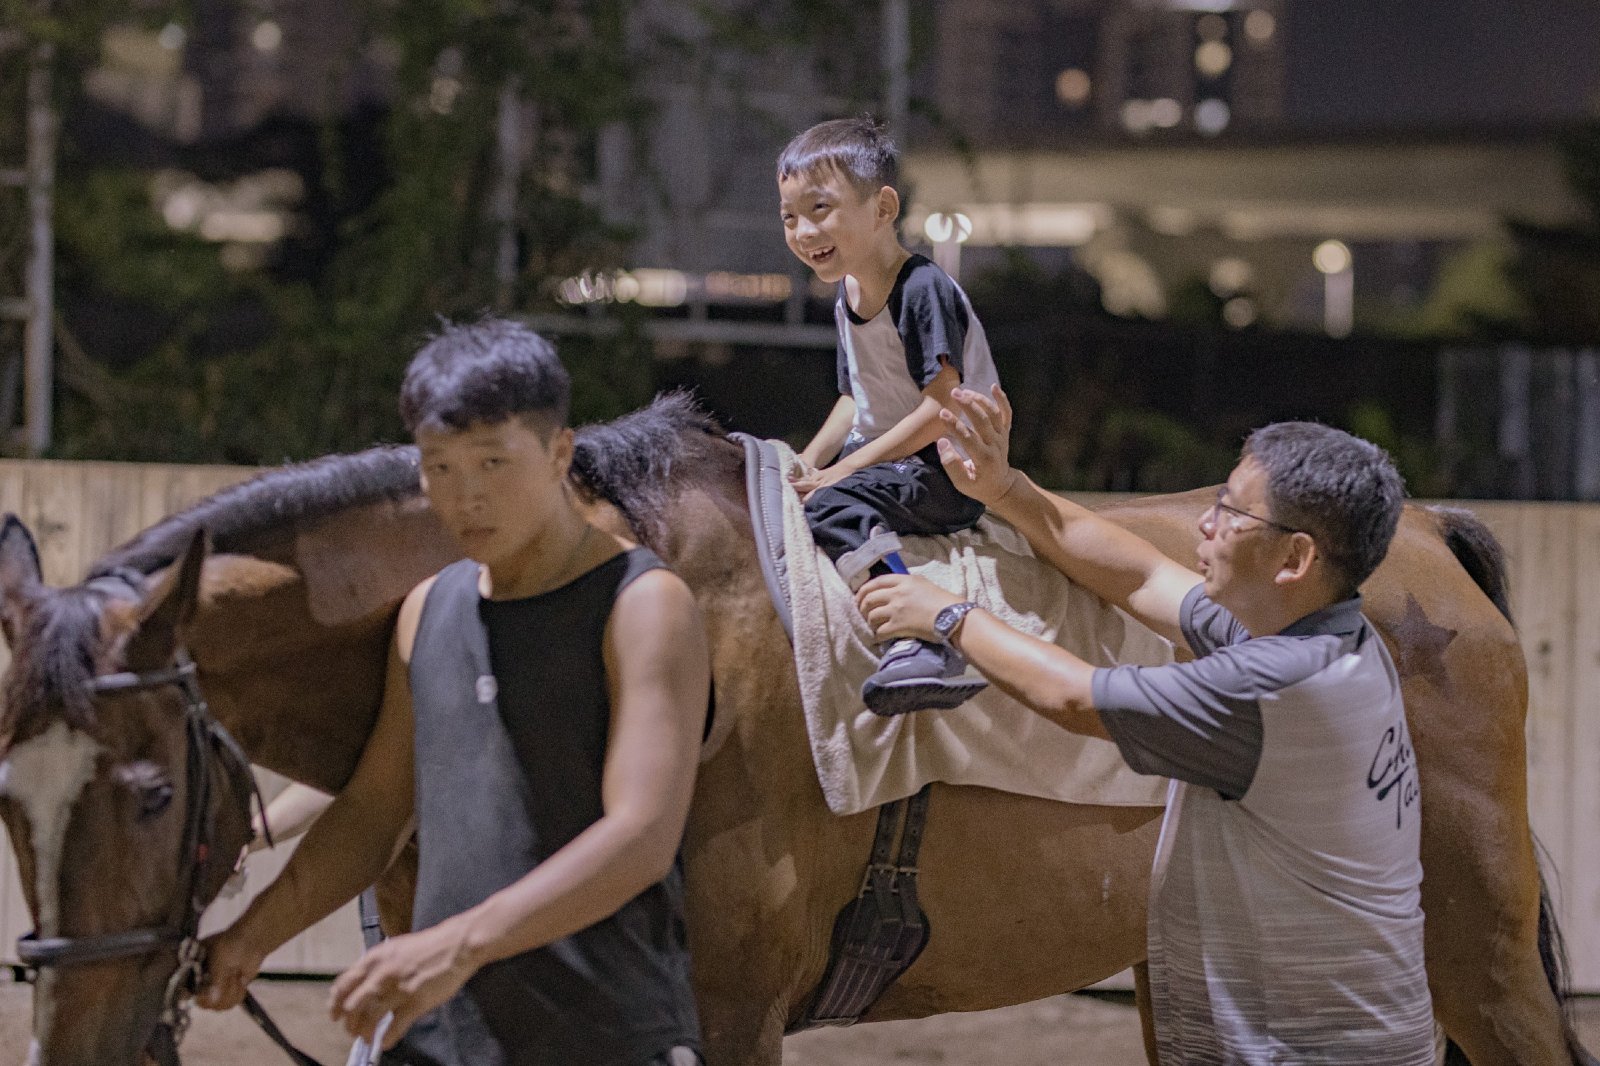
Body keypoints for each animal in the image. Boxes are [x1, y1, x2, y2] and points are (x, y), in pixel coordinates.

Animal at [0, 395, 1590, 1066]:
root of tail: (1429, 543)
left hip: (1471, 950)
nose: (79, 1038)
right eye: (12, 804)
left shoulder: (729, 1004)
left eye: (151, 796)